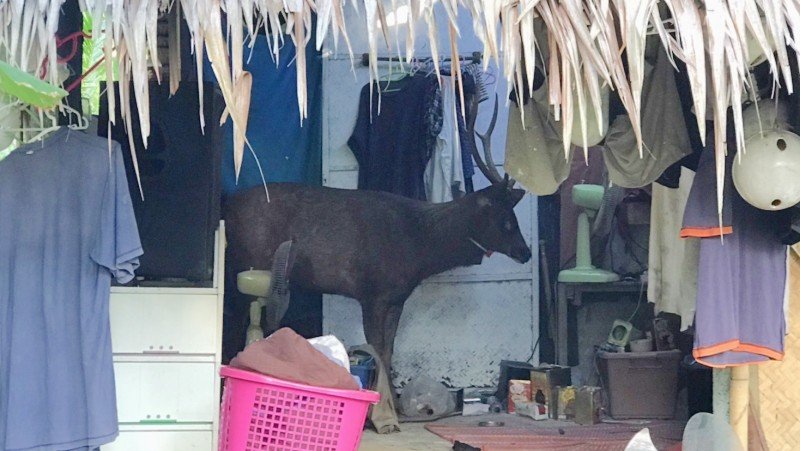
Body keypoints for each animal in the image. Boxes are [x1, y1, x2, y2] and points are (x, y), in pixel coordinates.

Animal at [223, 95, 532, 384]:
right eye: (505, 219)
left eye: (514, 215)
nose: (525, 252)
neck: (419, 248)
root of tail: (228, 203)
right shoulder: (371, 292)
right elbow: (377, 350)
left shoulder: (396, 298)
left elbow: (388, 351)